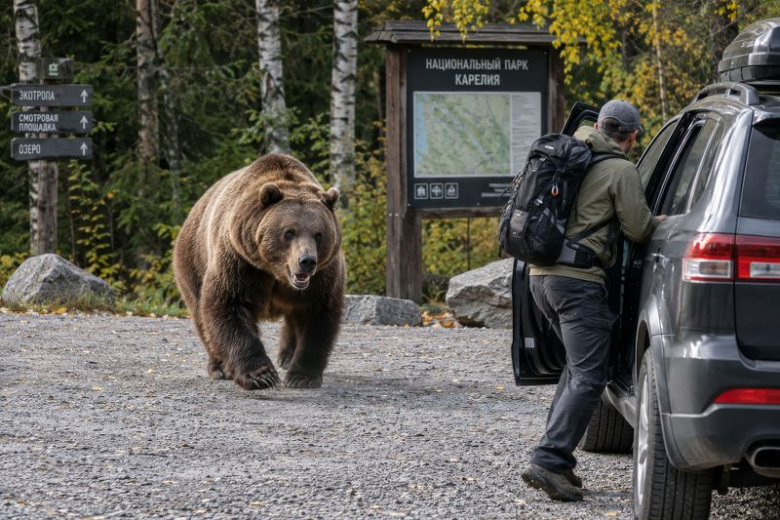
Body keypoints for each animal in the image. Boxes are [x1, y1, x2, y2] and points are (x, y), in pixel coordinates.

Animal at [173, 153, 346, 390]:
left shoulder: (322, 276)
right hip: (192, 259)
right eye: (289, 232)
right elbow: (228, 304)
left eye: (319, 234)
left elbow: (318, 315)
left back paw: (286, 356)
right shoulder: (241, 262)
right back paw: (219, 367)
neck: (276, 274)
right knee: (201, 315)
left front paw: (301, 377)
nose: (307, 261)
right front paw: (261, 375)